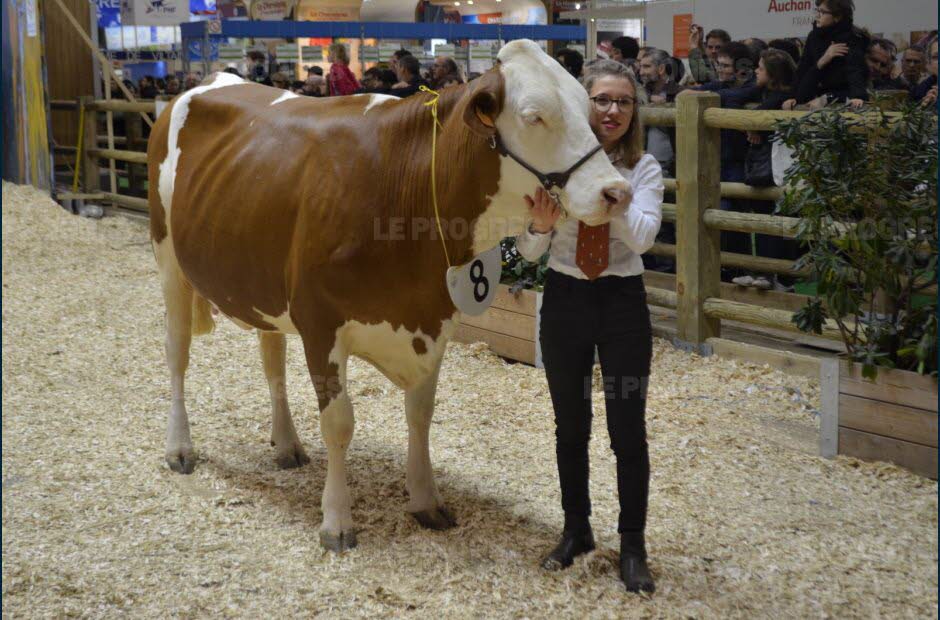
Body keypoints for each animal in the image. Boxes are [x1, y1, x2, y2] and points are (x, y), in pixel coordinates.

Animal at [147, 40, 631, 551]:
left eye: (586, 107)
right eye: (534, 116)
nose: (616, 191)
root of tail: (209, 80)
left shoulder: (433, 320)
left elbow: (420, 414)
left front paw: (425, 499)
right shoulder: (320, 323)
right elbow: (339, 423)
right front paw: (337, 520)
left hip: (259, 280)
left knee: (271, 361)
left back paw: (286, 442)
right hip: (168, 259)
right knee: (177, 354)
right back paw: (180, 447)